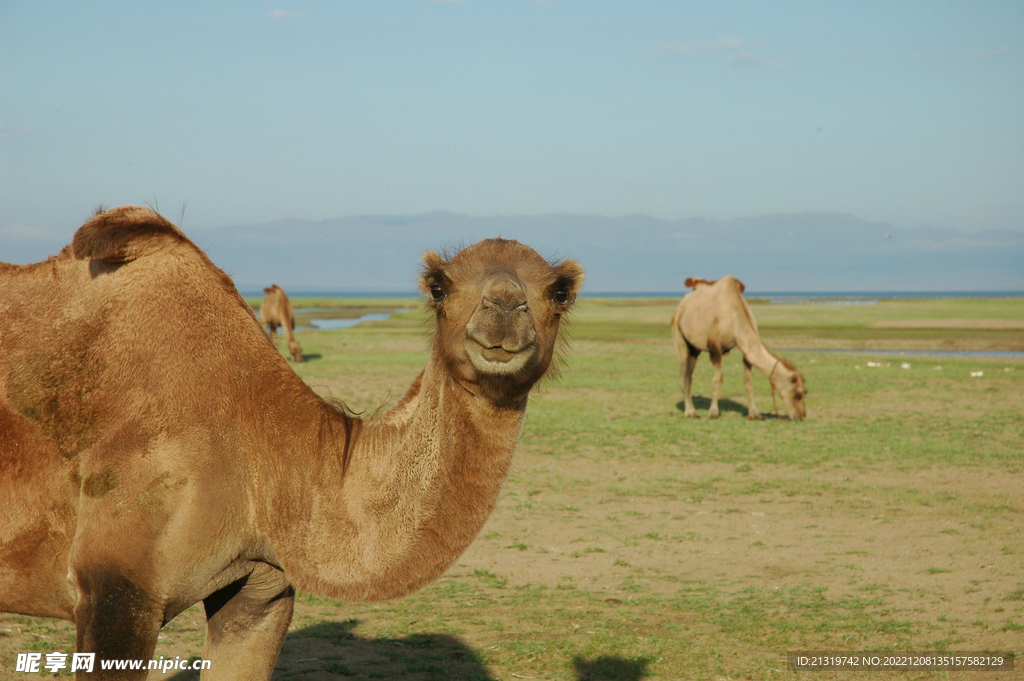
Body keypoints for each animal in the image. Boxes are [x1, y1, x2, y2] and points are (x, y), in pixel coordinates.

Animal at [0, 204, 585, 675]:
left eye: (560, 292)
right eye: (439, 285)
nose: (504, 307)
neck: (264, 443)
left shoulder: (260, 590)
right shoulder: (116, 590)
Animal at [671, 274, 806, 419]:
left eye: (803, 393)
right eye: (798, 394)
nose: (801, 415)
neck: (735, 316)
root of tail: (682, 304)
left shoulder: (745, 348)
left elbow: (748, 382)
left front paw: (754, 414)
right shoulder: (715, 347)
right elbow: (717, 380)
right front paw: (713, 412)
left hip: (694, 348)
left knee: (689, 375)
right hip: (679, 334)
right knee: (683, 375)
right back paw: (690, 412)